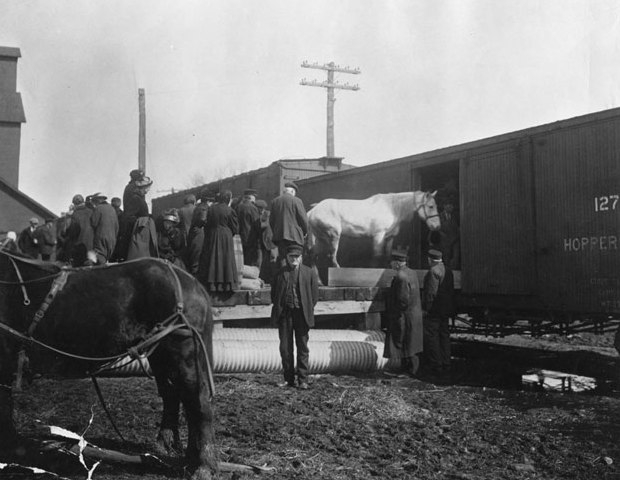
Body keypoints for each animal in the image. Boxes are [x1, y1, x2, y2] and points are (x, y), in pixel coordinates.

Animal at [0, 253, 216, 478]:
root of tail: (191, 281)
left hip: (182, 352)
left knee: (198, 403)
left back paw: (203, 465)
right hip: (161, 355)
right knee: (174, 396)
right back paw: (180, 454)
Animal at [306, 189, 440, 268]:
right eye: (431, 206)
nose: (437, 226)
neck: (392, 208)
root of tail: (312, 211)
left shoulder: (390, 237)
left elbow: (387, 255)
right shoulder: (378, 235)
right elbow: (377, 255)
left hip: (321, 238)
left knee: (312, 254)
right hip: (333, 236)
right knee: (331, 256)